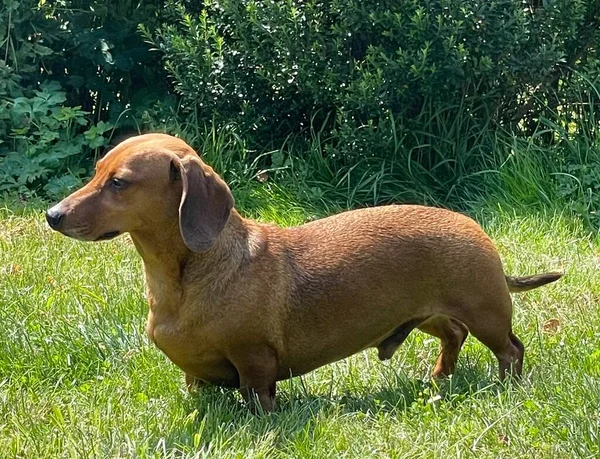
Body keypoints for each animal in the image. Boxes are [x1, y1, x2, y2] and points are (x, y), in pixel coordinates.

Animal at [47, 133, 564, 414]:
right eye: (97, 170)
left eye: (120, 183)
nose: (52, 215)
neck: (184, 280)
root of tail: (475, 228)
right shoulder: (195, 374)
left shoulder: (255, 359)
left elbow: (258, 396)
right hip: (426, 314)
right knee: (453, 335)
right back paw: (438, 378)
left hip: (486, 314)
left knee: (511, 349)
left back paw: (506, 387)